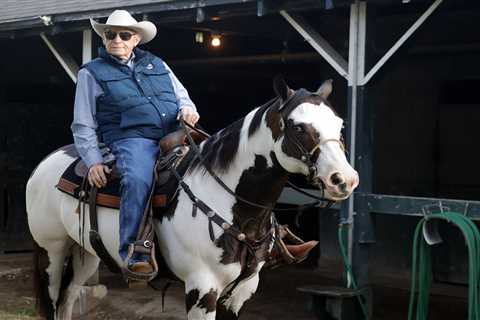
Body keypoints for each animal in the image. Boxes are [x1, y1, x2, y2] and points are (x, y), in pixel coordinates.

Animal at [25, 76, 356, 318]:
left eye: (340, 125)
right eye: (298, 127)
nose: (344, 180)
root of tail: (46, 162)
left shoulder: (241, 292)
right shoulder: (201, 290)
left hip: (86, 254)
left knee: (68, 300)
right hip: (52, 252)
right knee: (54, 300)